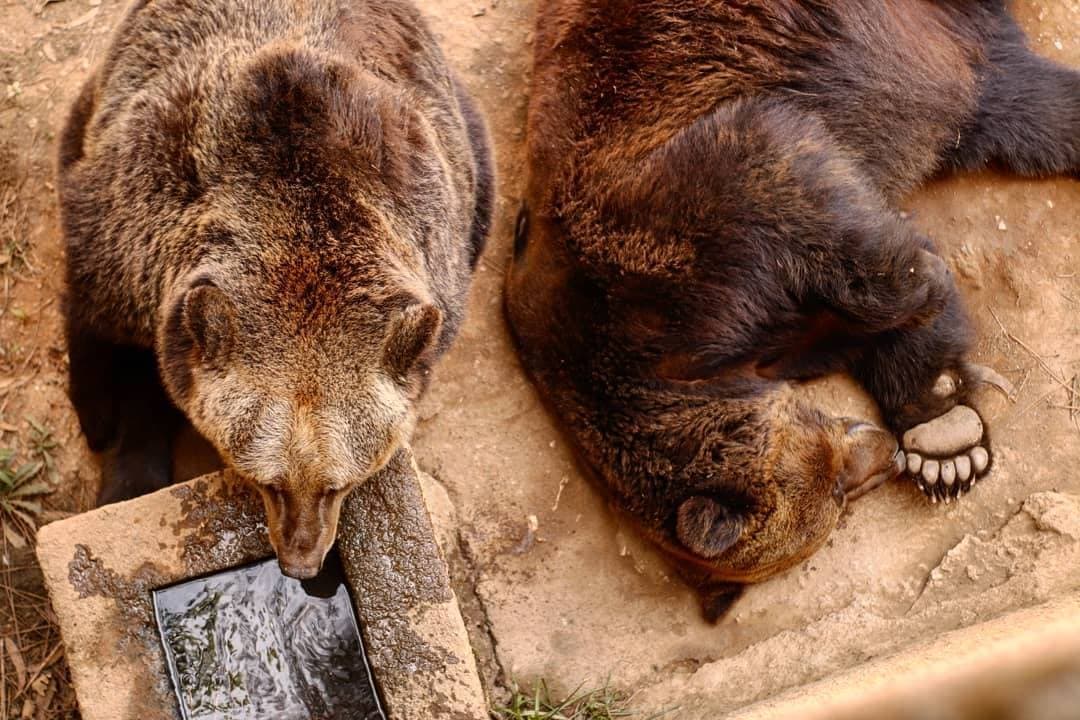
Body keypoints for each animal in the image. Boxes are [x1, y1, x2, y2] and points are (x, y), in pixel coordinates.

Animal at [56, 0, 492, 578]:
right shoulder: (135, 223)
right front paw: (104, 423)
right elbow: (94, 307)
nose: (302, 563)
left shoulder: (436, 231)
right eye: (268, 481)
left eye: (339, 484)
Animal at [507, 0, 1071, 621]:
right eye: (841, 501)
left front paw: (924, 275)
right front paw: (940, 418)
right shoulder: (774, 339)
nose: (885, 454)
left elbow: (798, 186)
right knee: (1029, 111)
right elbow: (856, 325)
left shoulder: (669, 230)